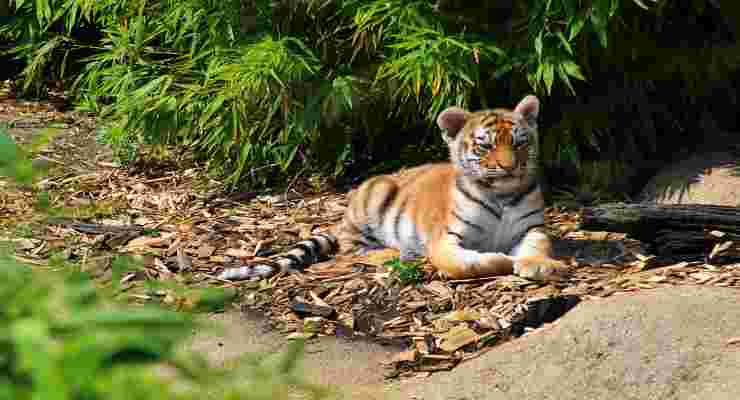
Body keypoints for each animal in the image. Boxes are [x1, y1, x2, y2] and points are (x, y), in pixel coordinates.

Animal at [217, 94, 568, 282]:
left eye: (520, 142)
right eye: (485, 145)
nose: (509, 167)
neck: (501, 194)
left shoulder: (532, 229)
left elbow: (538, 247)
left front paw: (539, 265)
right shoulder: (445, 240)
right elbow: (468, 263)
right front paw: (503, 260)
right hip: (375, 196)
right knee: (352, 250)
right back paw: (396, 253)